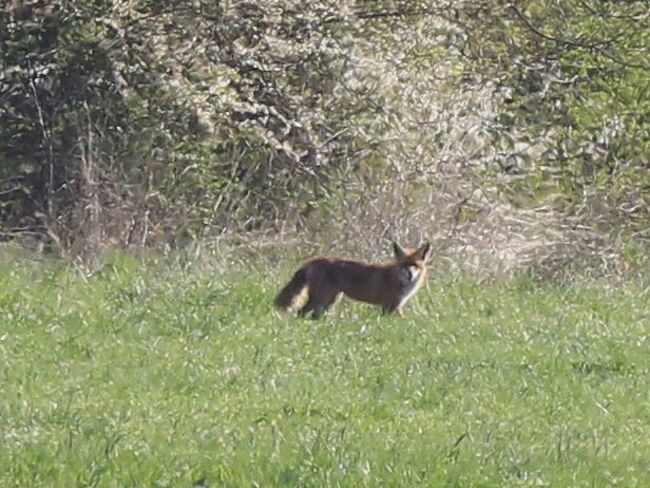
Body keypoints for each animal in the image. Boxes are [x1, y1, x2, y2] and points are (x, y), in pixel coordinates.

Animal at [275, 241, 431, 319]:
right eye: (404, 265)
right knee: (301, 312)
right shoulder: (390, 306)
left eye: (416, 265)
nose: (410, 274)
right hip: (323, 299)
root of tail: (311, 261)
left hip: (330, 300)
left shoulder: (395, 306)